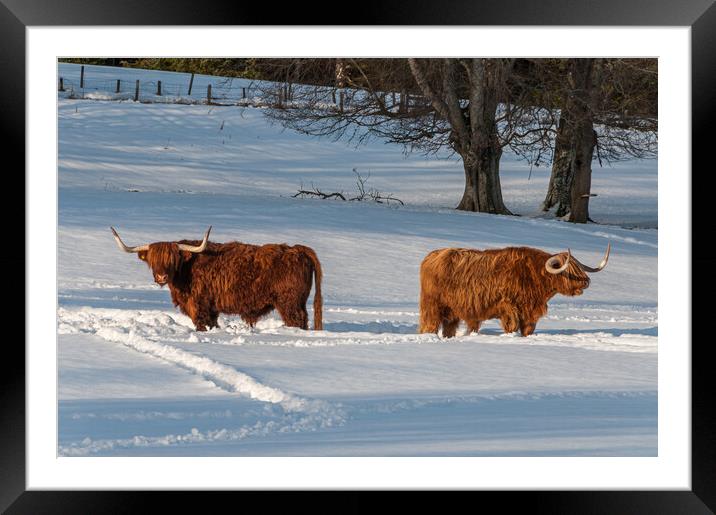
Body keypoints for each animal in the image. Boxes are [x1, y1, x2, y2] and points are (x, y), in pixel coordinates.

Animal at [110, 227, 324, 332]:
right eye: (153, 260)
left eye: (173, 259)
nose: (162, 276)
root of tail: (297, 249)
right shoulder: (211, 308)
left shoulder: (199, 304)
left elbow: (201, 324)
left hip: (288, 302)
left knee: (297, 320)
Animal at [420, 245, 608, 338]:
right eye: (568, 270)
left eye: (579, 268)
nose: (586, 282)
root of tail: (432, 256)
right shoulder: (508, 307)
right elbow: (512, 326)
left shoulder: (530, 313)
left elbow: (528, 329)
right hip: (432, 306)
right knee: (429, 324)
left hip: (452, 311)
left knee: (449, 327)